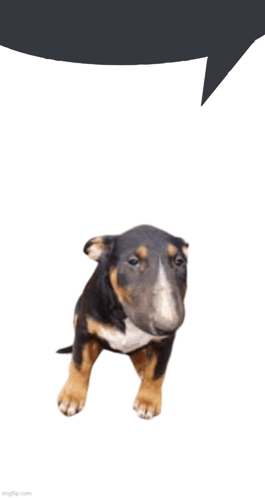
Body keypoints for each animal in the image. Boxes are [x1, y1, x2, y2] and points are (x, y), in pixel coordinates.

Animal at [56, 226, 188, 420]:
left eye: (179, 261)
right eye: (133, 261)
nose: (169, 325)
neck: (125, 315)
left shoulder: (165, 342)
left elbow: (157, 371)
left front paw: (148, 400)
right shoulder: (83, 330)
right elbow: (80, 363)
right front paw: (72, 396)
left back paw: (142, 367)